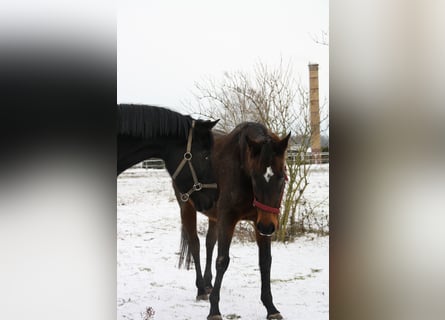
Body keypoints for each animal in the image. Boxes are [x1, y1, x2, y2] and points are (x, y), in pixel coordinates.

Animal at [175, 122, 290, 320]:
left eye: (282, 176)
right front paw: (214, 310)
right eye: (255, 177)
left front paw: (271, 307)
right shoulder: (228, 219)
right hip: (186, 208)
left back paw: (208, 284)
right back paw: (201, 290)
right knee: (195, 245)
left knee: (209, 243)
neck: (242, 166)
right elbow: (222, 261)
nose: (268, 227)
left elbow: (265, 261)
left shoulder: (259, 221)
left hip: (214, 216)